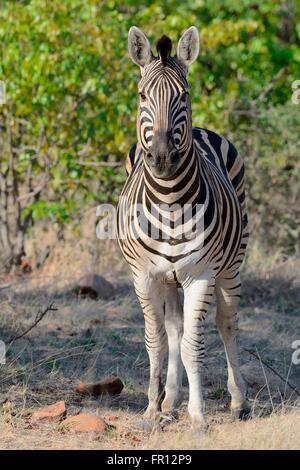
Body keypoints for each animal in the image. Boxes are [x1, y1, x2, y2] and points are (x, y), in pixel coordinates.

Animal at [116, 24, 250, 430]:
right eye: (142, 95)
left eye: (184, 95)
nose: (161, 157)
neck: (170, 201)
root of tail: (205, 128)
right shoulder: (144, 275)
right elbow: (157, 340)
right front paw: (151, 409)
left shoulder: (200, 275)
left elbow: (194, 344)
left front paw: (198, 417)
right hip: (168, 278)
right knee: (174, 329)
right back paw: (170, 400)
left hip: (232, 263)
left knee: (227, 323)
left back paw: (238, 401)